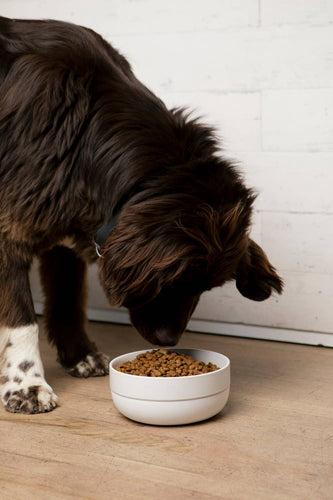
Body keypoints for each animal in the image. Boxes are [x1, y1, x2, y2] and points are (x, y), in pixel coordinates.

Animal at [0, 16, 282, 414]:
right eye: (175, 278)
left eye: (205, 286)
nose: (168, 340)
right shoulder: (11, 229)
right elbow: (23, 322)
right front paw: (26, 384)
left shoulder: (61, 226)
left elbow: (68, 300)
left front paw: (80, 356)